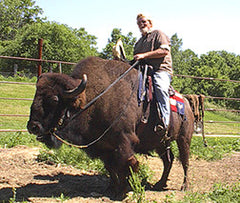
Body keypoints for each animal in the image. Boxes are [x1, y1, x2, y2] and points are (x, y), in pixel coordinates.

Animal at [27, 56, 194, 198]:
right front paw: (111, 188)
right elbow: (111, 168)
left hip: (183, 139)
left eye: (54, 99)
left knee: (184, 161)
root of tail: (187, 103)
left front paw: (123, 191)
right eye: (35, 94)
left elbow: (126, 165)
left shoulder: (124, 142)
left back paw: (184, 187)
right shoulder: (103, 147)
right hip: (161, 143)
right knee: (168, 160)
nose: (32, 127)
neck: (93, 99)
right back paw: (160, 184)